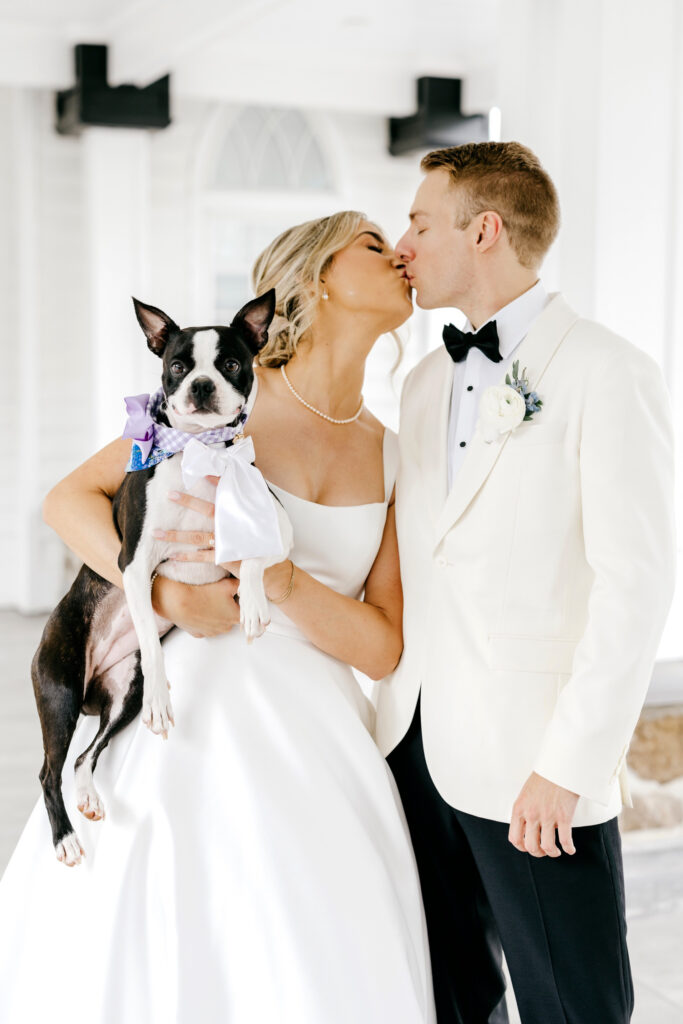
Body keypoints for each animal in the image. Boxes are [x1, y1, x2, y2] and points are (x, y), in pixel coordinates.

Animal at [31, 288, 290, 864]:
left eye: (231, 364)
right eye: (176, 365)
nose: (200, 385)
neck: (199, 453)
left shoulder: (280, 524)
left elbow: (255, 557)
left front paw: (254, 603)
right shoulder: (134, 562)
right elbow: (151, 634)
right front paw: (163, 701)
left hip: (121, 693)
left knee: (84, 756)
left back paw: (88, 796)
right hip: (60, 689)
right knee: (49, 769)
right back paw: (64, 838)